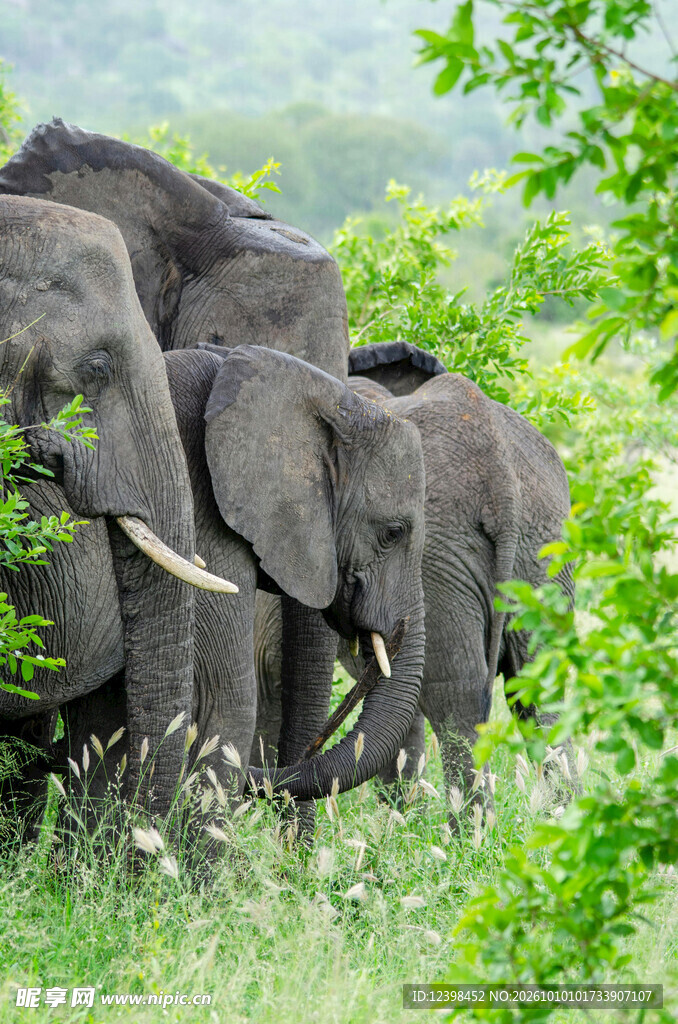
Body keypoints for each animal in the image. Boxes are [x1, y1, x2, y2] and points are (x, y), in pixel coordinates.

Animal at [253, 341, 574, 811]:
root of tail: (499, 469)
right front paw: (404, 815)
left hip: (442, 552)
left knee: (455, 698)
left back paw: (469, 827)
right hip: (544, 546)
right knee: (541, 697)